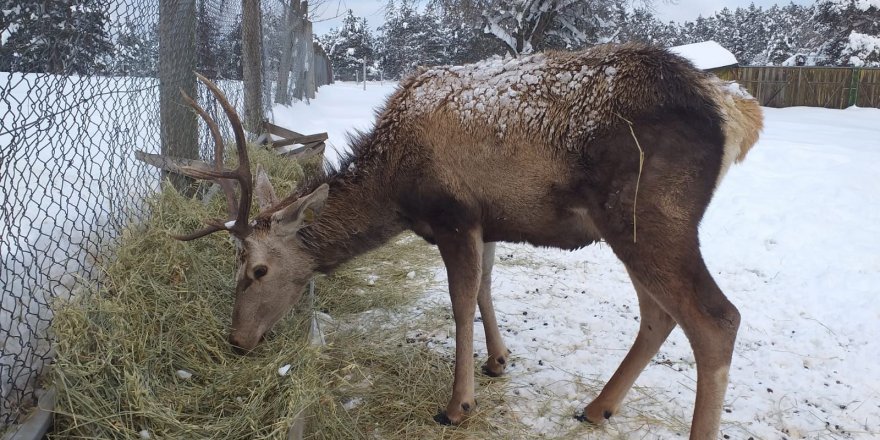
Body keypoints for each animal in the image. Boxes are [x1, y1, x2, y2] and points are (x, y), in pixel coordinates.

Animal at [174, 43, 764, 438]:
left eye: (257, 270)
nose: (237, 340)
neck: (395, 187)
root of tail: (734, 109)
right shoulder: (487, 219)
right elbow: (485, 287)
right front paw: (498, 361)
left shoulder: (452, 213)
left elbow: (459, 302)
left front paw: (457, 405)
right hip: (630, 227)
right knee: (660, 313)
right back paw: (598, 406)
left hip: (650, 214)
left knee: (717, 317)